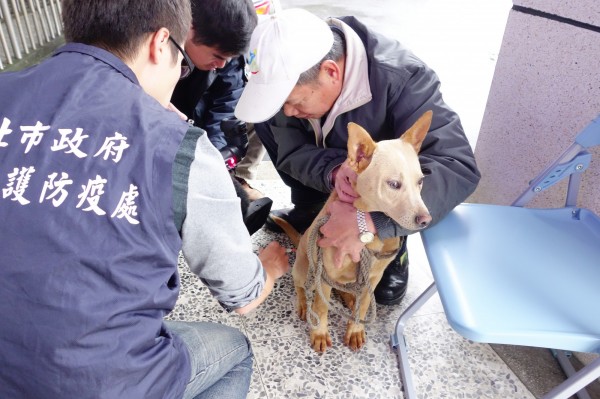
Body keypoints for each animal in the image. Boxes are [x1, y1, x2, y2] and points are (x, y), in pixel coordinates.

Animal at [274, 110, 434, 354]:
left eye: (421, 181)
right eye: (393, 184)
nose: (426, 220)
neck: (368, 238)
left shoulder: (373, 278)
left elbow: (364, 306)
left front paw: (356, 330)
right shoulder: (324, 273)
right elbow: (320, 307)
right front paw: (319, 333)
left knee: (347, 291)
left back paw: (348, 298)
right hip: (303, 268)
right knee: (301, 287)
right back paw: (303, 304)